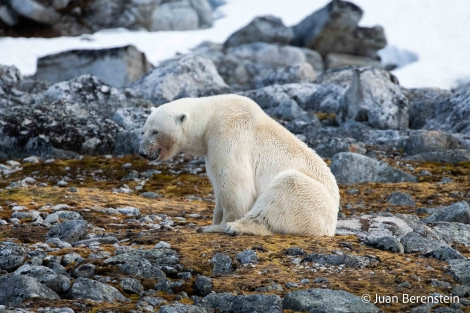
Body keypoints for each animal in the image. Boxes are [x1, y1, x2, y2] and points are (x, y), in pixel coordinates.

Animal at [138, 94, 340, 235]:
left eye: (155, 131)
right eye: (143, 130)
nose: (142, 153)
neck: (212, 116)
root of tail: (330, 226)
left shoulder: (229, 133)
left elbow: (234, 184)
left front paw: (219, 225)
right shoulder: (211, 149)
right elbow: (218, 187)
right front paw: (214, 221)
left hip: (312, 200)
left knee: (286, 187)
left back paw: (235, 227)